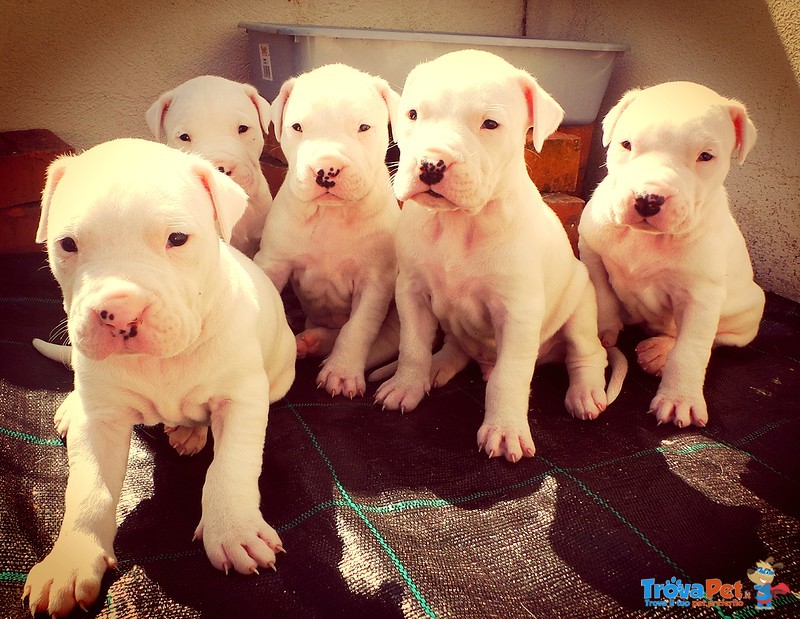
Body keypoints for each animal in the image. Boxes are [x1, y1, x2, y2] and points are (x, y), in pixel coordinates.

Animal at [27, 138, 300, 616]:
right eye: (67, 244)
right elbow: (88, 488)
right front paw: (71, 559)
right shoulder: (102, 419)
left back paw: (189, 432)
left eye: (177, 239)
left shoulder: (242, 399)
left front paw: (233, 530)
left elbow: (232, 465)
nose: (119, 312)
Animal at [255, 65, 400, 400]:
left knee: (383, 341)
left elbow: (358, 328)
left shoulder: (375, 281)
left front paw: (342, 373)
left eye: (363, 127)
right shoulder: (273, 262)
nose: (327, 169)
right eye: (297, 127)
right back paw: (311, 341)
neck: (332, 214)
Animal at [374, 50, 624, 462]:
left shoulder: (518, 313)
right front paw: (406, 385)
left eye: (489, 124)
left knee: (588, 353)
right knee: (456, 347)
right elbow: (412, 346)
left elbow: (511, 376)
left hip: (580, 307)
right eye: (412, 114)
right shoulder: (411, 292)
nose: (431, 164)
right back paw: (438, 366)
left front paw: (505, 430)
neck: (459, 223)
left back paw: (586, 392)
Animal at [580, 81, 764, 432]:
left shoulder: (701, 296)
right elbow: (602, 294)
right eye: (626, 144)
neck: (646, 239)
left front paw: (680, 399)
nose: (648, 199)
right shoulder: (592, 253)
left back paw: (659, 352)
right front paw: (604, 330)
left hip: (749, 310)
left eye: (706, 156)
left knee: (704, 337)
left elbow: (692, 348)